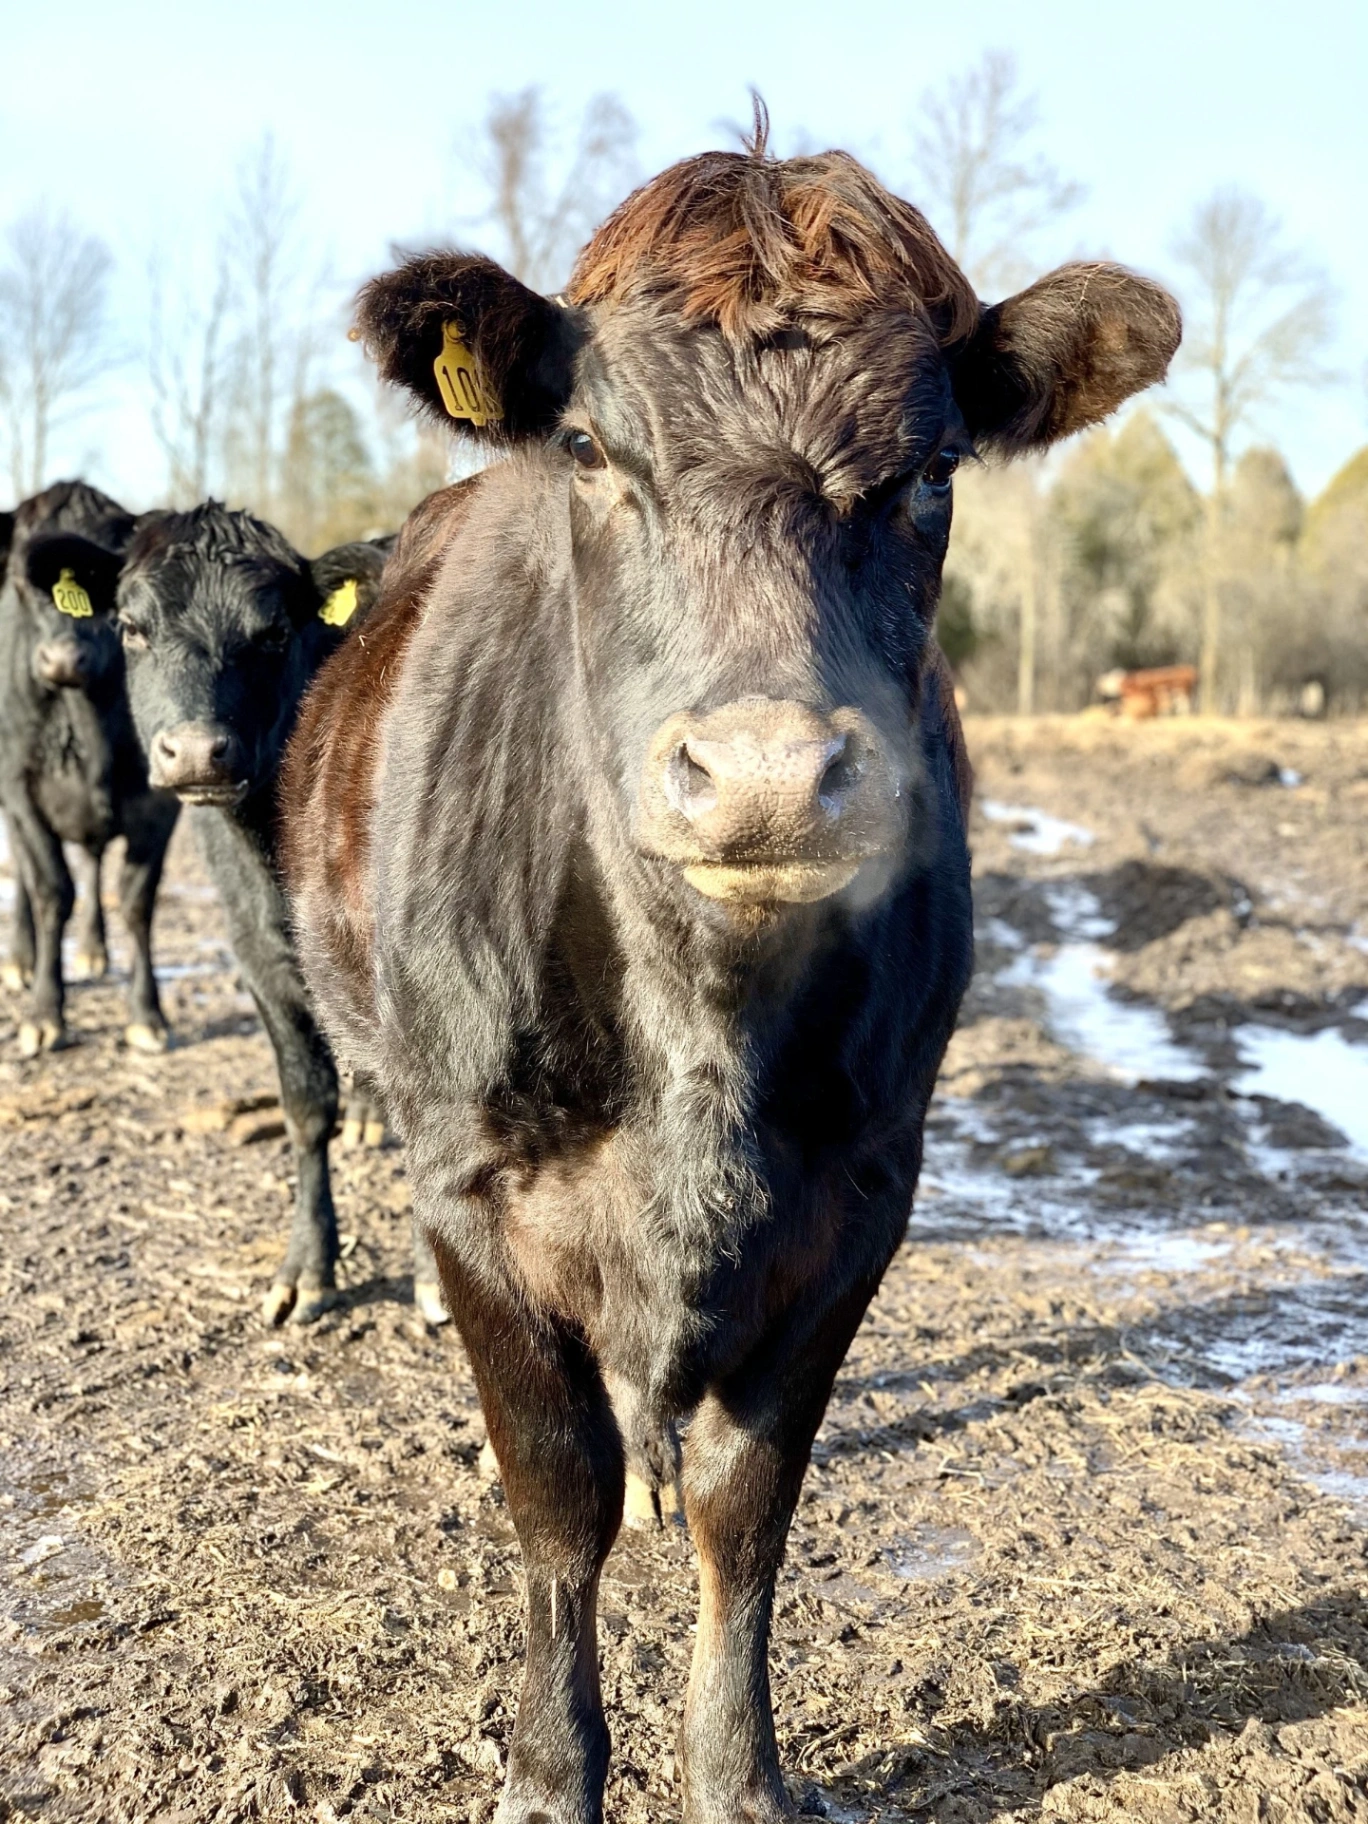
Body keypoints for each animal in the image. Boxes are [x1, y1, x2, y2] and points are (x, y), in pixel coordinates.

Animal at [0, 481, 179, 1057]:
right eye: (19, 581)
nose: (62, 659)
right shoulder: (20, 791)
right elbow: (51, 890)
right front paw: (44, 1014)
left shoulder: (159, 803)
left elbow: (136, 901)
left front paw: (147, 1014)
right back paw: (21, 959)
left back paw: (94, 951)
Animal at [53, 502, 442, 1325]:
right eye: (132, 627)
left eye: (272, 632)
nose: (198, 752)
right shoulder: (257, 957)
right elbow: (304, 1106)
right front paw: (308, 1268)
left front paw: (437, 1277)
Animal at [283, 136, 1180, 1823]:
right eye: (589, 448)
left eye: (932, 471)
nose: (767, 775)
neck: (701, 1037)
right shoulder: (472, 1189)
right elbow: (555, 1491)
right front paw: (551, 1768)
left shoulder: (865, 1193)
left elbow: (747, 1501)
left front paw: (738, 1772)